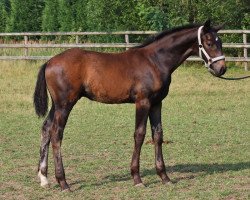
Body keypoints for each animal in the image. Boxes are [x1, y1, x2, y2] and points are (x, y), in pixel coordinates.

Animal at [34, 20, 228, 191]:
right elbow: (139, 135)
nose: (222, 69)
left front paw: (164, 177)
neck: (154, 61)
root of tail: (49, 62)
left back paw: (44, 179)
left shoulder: (156, 103)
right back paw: (63, 183)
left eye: (220, 42)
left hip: (57, 105)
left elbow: (158, 135)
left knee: (46, 128)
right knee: (56, 134)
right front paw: (137, 178)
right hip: (65, 104)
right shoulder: (143, 102)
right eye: (209, 42)